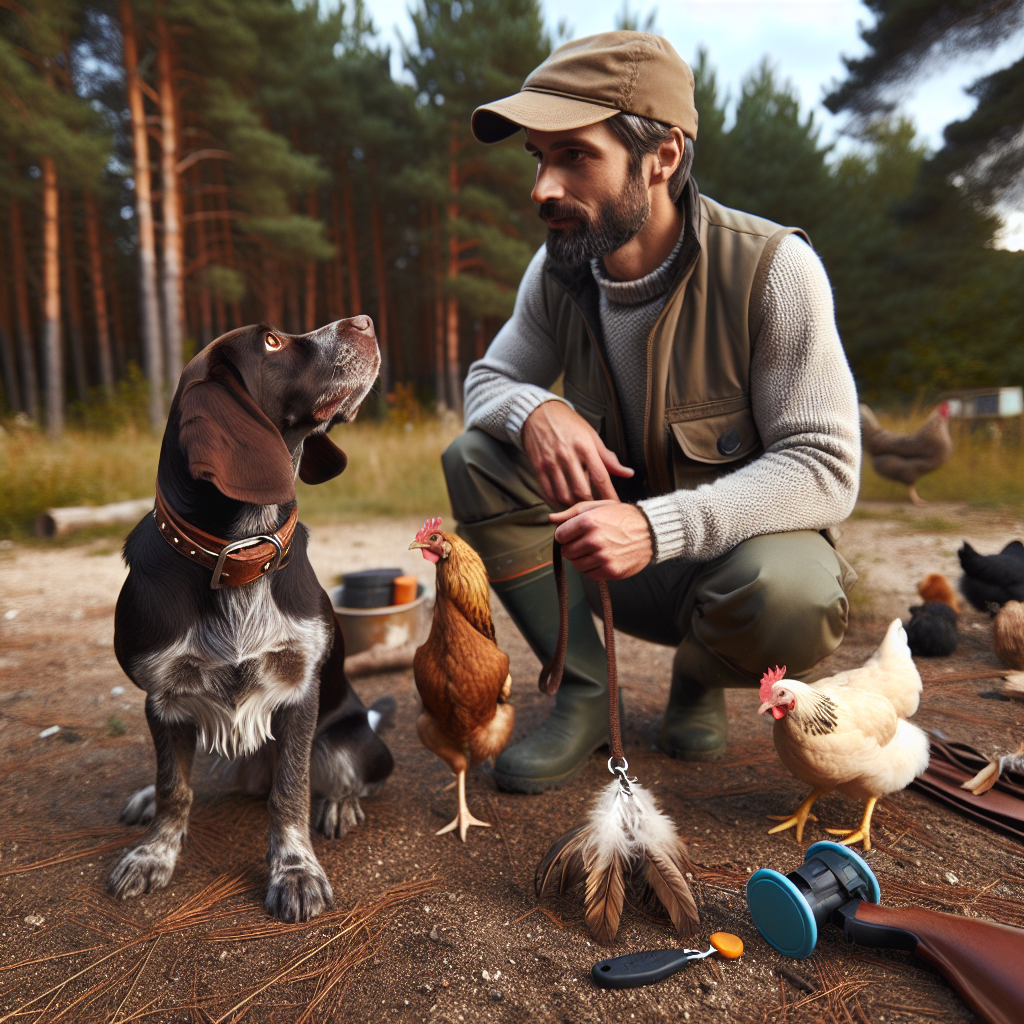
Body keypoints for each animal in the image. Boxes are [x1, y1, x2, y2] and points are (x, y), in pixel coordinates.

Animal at [108, 317, 393, 921]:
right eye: (271, 342)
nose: (365, 321)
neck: (238, 551)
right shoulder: (162, 699)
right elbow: (174, 787)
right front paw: (154, 853)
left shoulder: (298, 694)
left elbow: (291, 791)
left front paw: (295, 870)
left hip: (350, 742)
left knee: (339, 775)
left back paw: (340, 805)